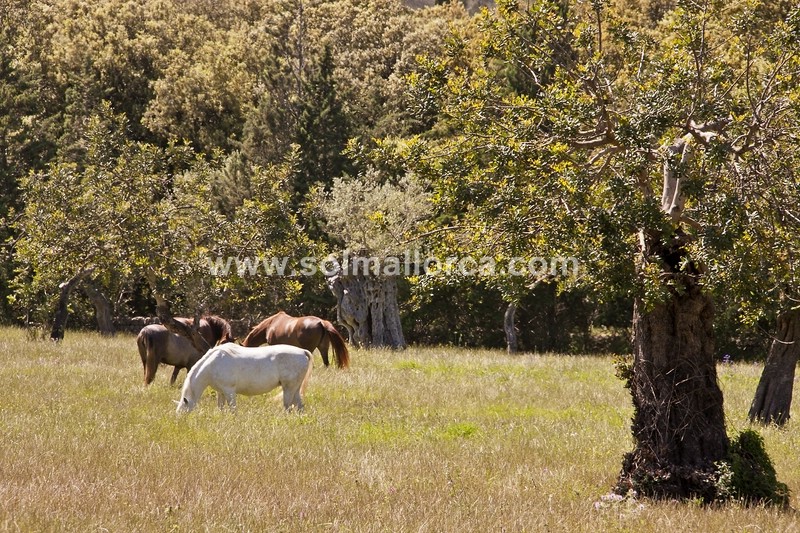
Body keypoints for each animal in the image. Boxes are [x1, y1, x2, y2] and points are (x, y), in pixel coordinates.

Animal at [175, 342, 312, 414]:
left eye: (183, 411)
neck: (212, 364)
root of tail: (303, 351)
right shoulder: (221, 392)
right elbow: (220, 408)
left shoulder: (229, 391)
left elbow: (233, 408)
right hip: (295, 389)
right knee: (299, 406)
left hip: (288, 389)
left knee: (288, 406)